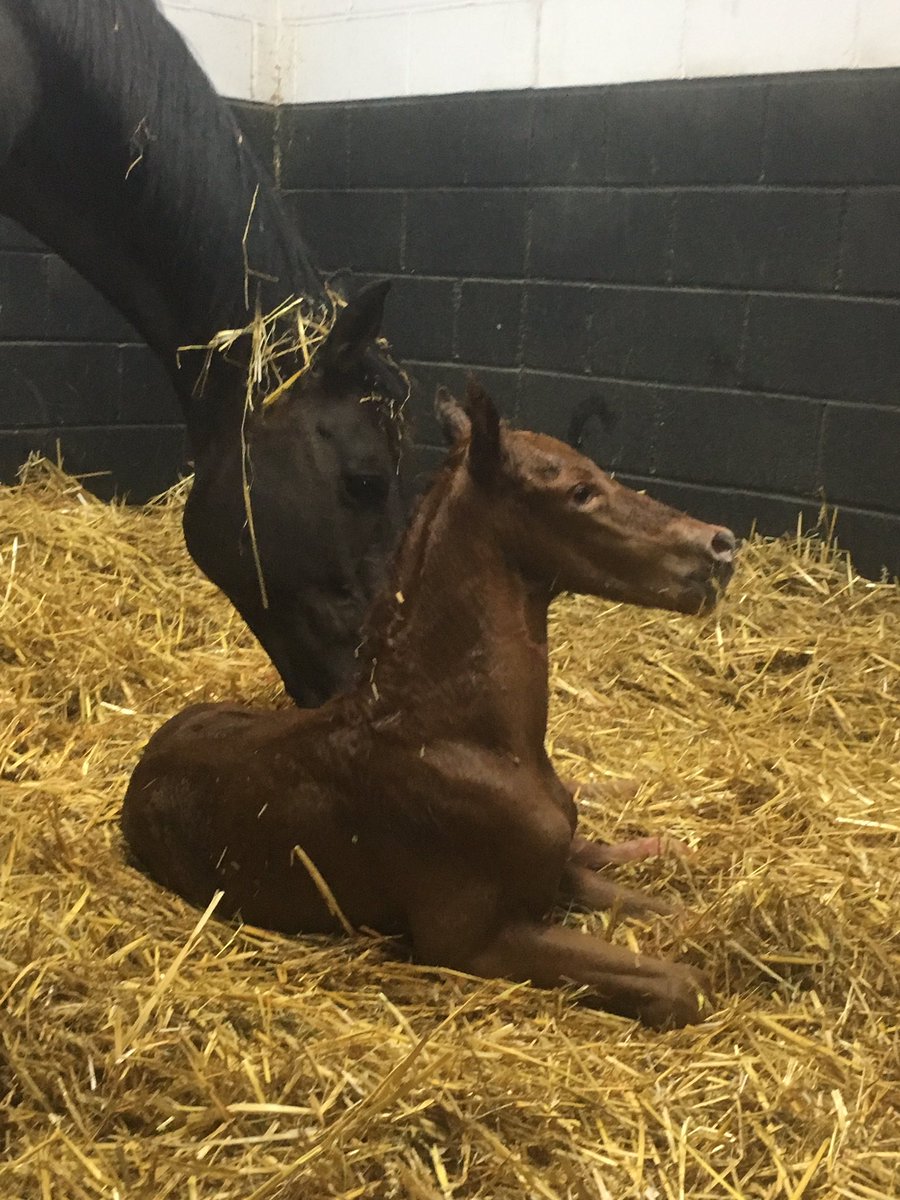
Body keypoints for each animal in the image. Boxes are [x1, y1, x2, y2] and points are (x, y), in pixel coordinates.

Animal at [121, 379, 737, 1029]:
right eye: (579, 492)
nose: (721, 546)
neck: (455, 737)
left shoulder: (558, 874)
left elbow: (670, 911)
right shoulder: (468, 942)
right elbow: (684, 985)